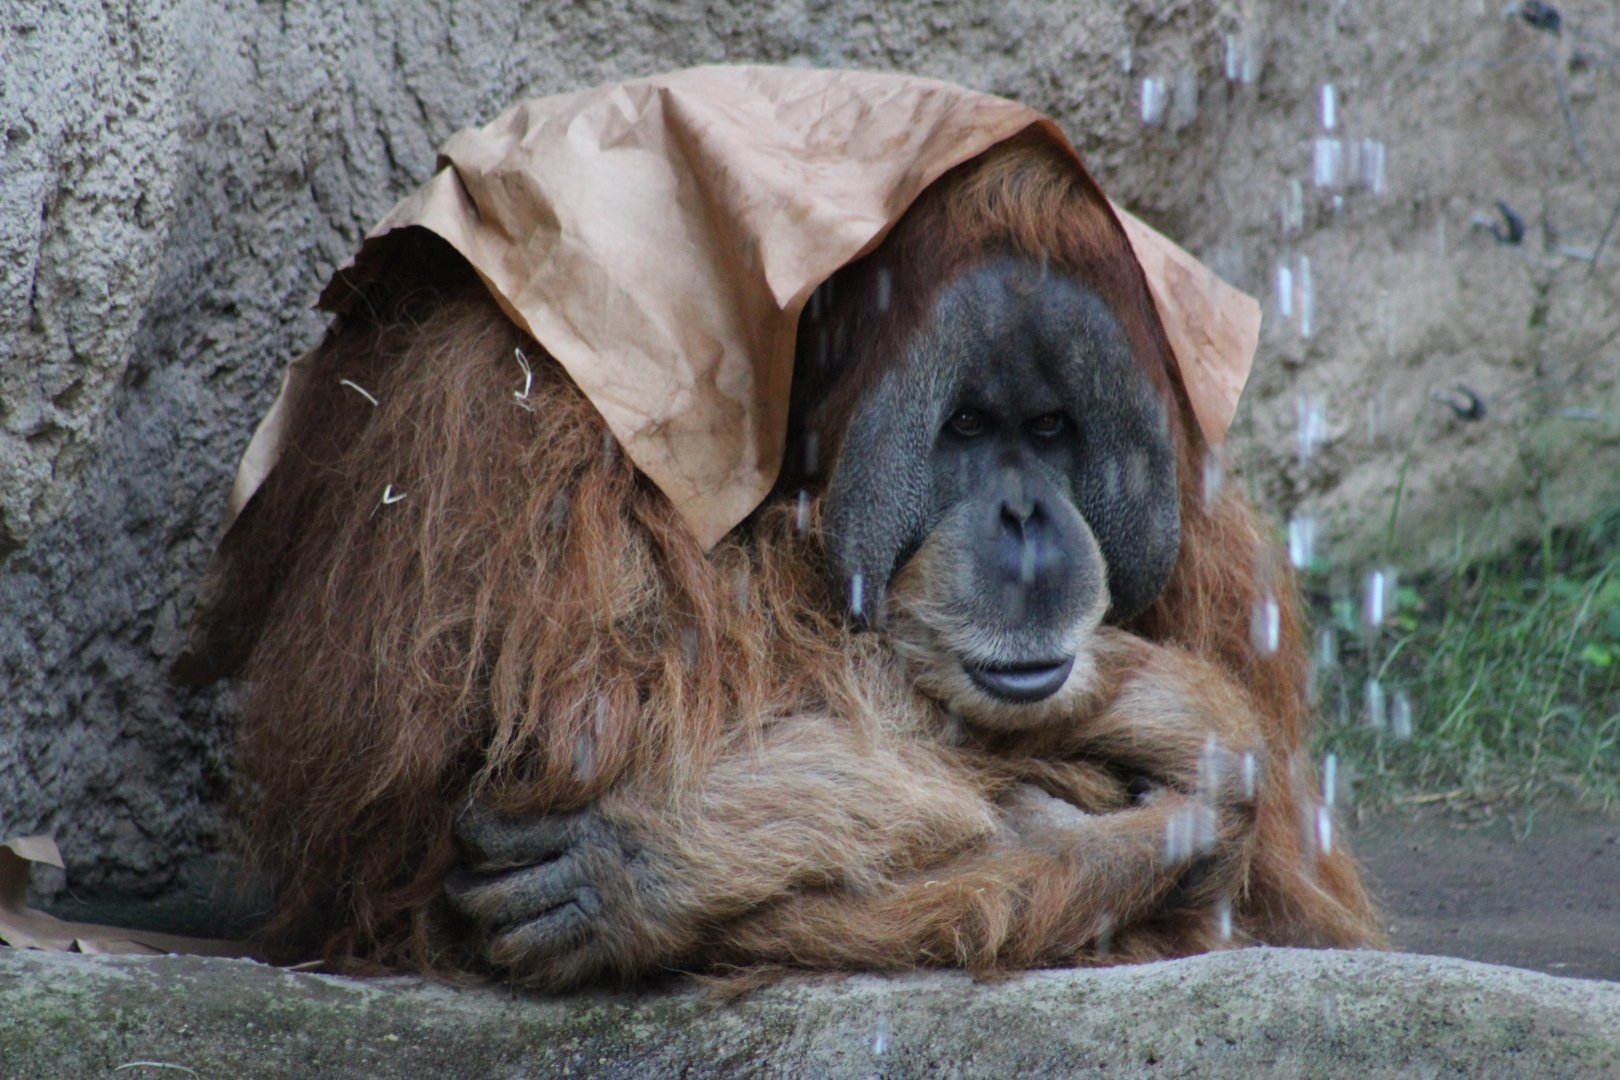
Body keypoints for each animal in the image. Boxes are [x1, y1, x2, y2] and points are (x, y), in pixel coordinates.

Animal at [187, 132, 1382, 990]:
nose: (1026, 520)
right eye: (966, 427)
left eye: (1048, 430)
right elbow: (571, 711)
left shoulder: (1207, 517)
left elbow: (1273, 852)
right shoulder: (517, 388)